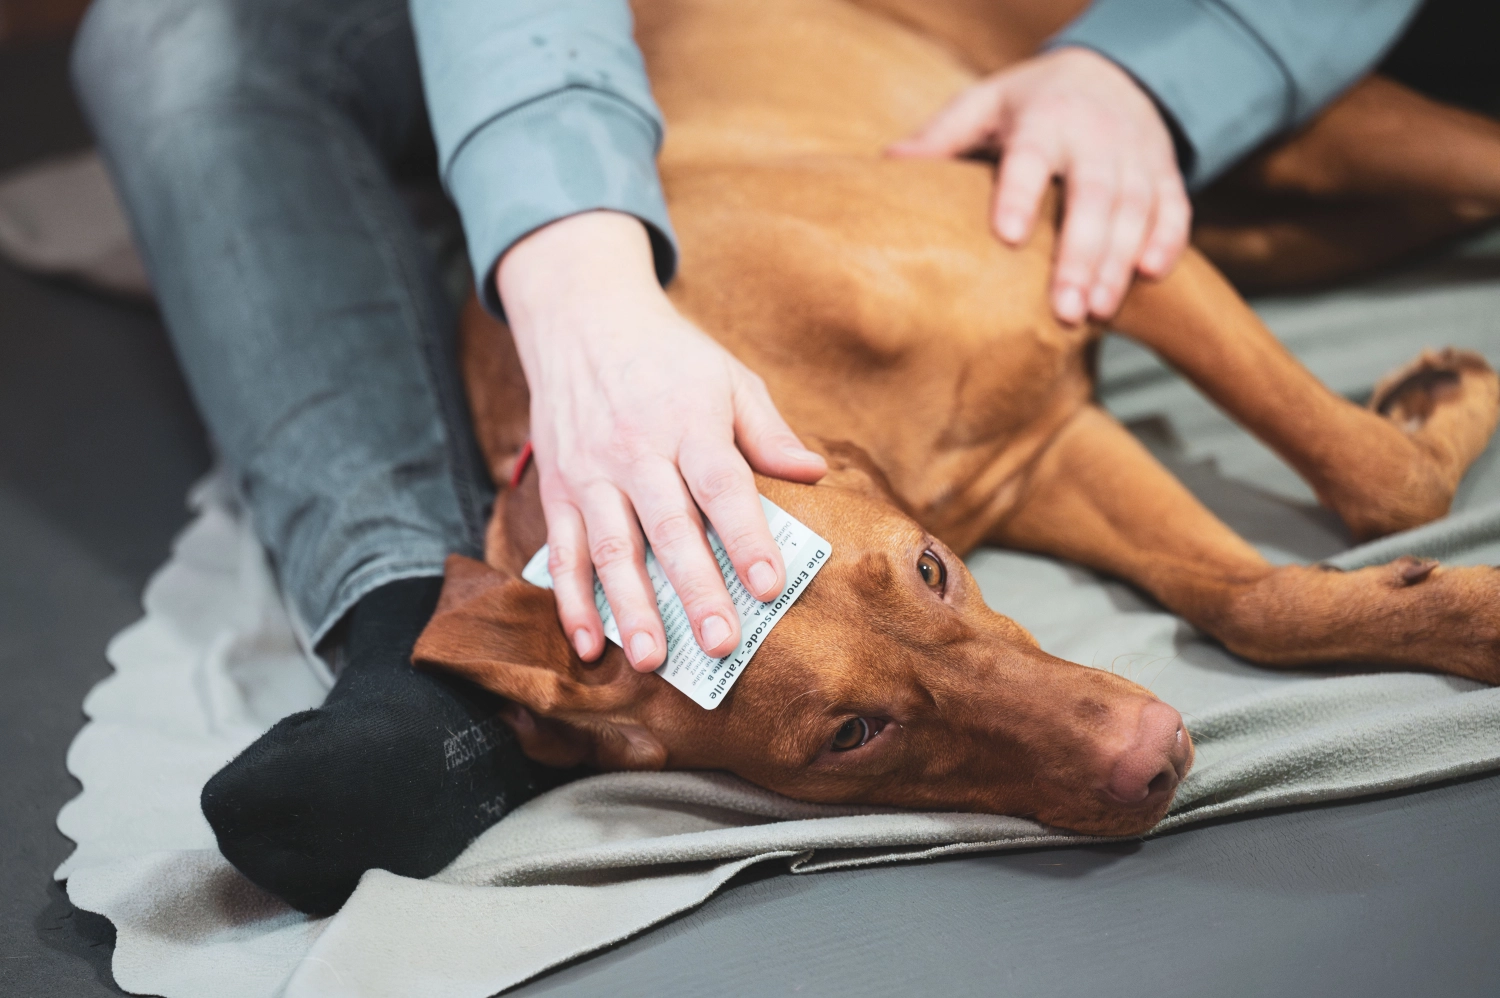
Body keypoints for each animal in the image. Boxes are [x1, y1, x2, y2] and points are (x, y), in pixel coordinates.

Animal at [411, 0, 1500, 834]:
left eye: (933, 570)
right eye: (850, 735)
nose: (1155, 756)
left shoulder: (1098, 236)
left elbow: (1378, 475)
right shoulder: (1047, 454)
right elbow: (1254, 598)